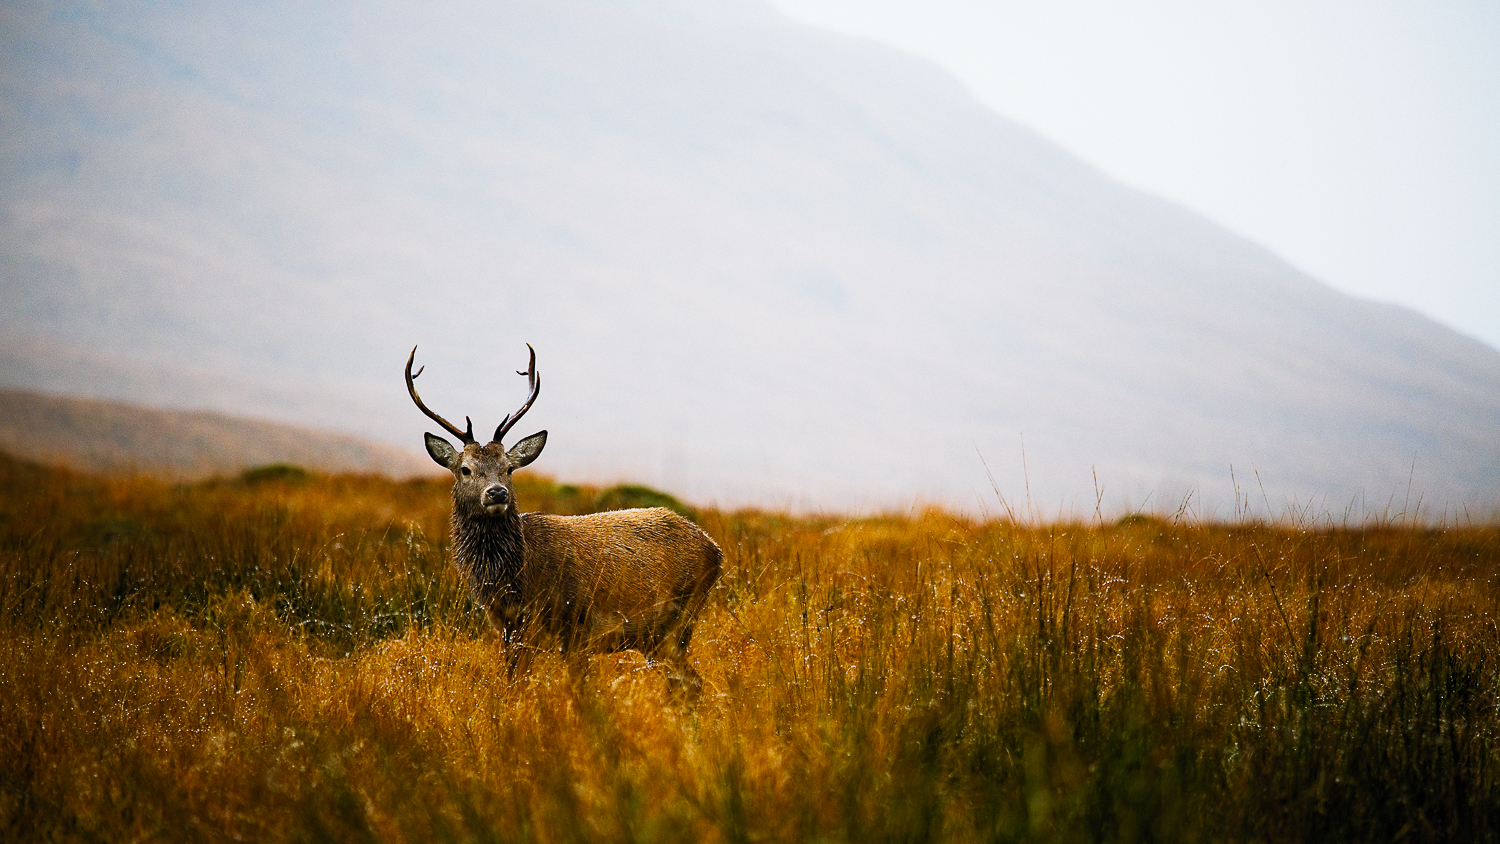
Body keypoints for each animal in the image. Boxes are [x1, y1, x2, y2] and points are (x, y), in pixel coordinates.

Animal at [405, 344, 720, 701]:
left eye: (509, 468)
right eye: (465, 469)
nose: (497, 492)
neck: (515, 580)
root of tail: (716, 550)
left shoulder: (575, 625)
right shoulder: (509, 630)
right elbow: (514, 687)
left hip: (678, 619)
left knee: (691, 682)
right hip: (656, 636)